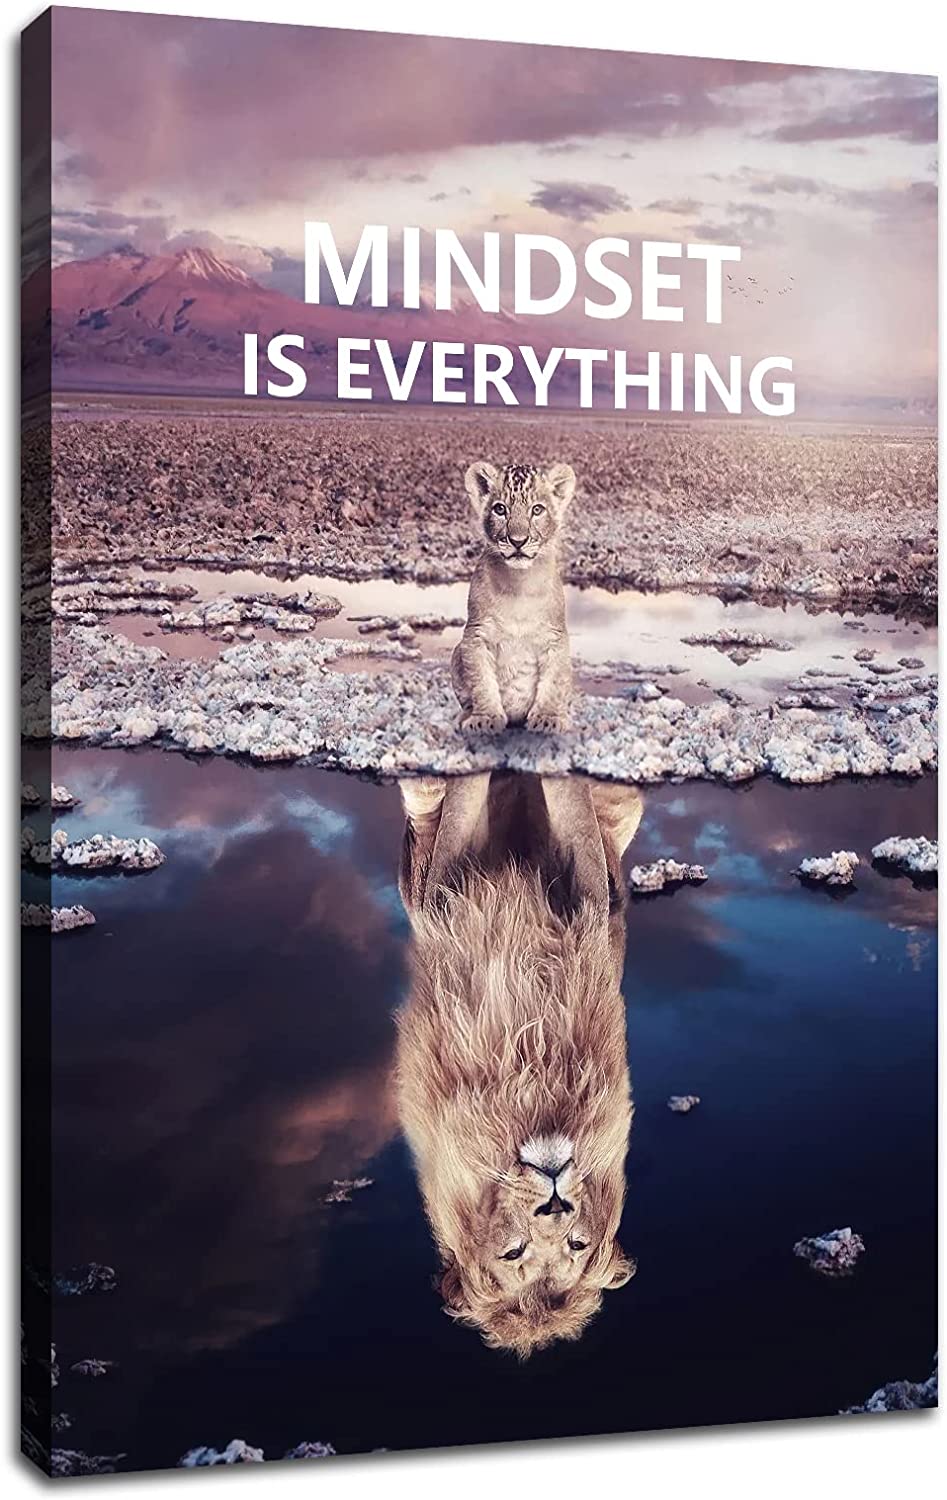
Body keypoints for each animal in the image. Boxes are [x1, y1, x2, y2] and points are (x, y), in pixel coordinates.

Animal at [395, 770, 643, 1357]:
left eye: (577, 1244)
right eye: (513, 1254)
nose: (554, 1203)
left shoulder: (589, 895)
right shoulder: (444, 890)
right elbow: (463, 804)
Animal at [452, 461, 575, 735]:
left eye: (537, 510)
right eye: (500, 509)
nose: (518, 541)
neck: (519, 585)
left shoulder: (556, 638)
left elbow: (553, 683)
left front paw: (548, 718)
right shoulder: (476, 635)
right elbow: (482, 683)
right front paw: (485, 718)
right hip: (456, 653)